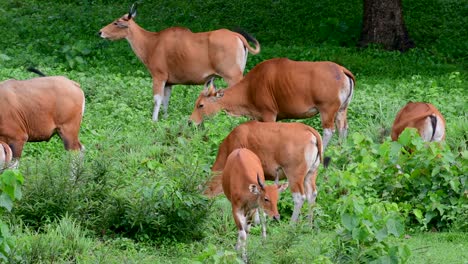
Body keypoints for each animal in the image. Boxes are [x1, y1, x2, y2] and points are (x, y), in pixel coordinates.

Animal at [98, 3, 260, 121]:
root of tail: (236, 35)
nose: (100, 32)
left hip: (233, 76)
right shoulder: (169, 82)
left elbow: (157, 99)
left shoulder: (159, 76)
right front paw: (164, 118)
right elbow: (166, 101)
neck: (152, 43)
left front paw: (154, 121)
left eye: (116, 22)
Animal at [189, 57, 354, 150]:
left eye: (200, 105)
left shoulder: (269, 114)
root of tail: (342, 70)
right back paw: (341, 150)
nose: (190, 122)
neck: (250, 88)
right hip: (342, 109)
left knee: (329, 131)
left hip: (327, 109)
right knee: (343, 128)